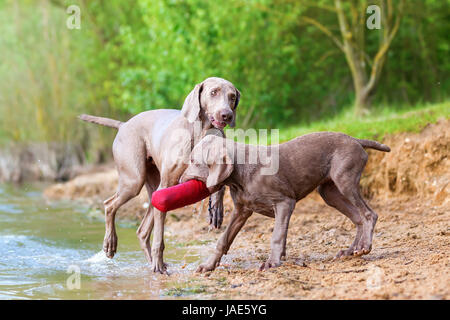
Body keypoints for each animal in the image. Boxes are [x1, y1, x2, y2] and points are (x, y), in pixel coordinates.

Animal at [79, 77, 241, 272]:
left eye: (232, 97)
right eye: (213, 92)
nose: (227, 115)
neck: (201, 132)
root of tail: (124, 125)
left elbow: (220, 184)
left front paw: (216, 208)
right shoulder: (168, 184)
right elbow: (159, 237)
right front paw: (158, 264)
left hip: (153, 188)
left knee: (142, 231)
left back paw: (151, 262)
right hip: (134, 180)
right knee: (109, 205)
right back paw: (111, 244)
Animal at [179, 132, 390, 272]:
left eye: (193, 161)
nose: (180, 180)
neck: (240, 174)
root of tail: (355, 139)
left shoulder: (284, 202)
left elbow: (277, 235)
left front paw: (272, 262)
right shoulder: (242, 211)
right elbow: (223, 240)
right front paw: (208, 265)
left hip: (344, 181)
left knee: (369, 214)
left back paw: (364, 247)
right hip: (329, 193)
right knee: (358, 218)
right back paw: (351, 251)